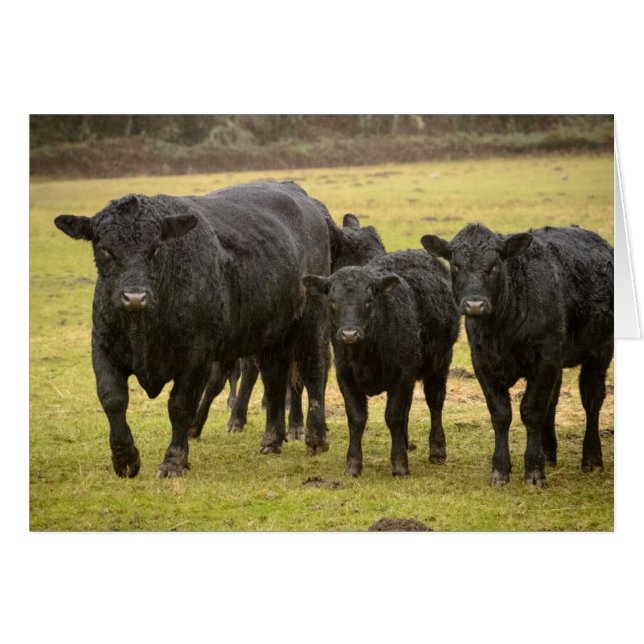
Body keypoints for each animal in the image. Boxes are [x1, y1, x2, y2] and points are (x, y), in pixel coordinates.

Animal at [54, 181, 333, 478]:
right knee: (274, 379)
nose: (134, 297)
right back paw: (271, 440)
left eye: (155, 248)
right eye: (105, 249)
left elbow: (180, 405)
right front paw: (125, 458)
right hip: (269, 336)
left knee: (314, 371)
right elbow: (113, 399)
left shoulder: (196, 357)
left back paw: (315, 438)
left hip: (311, 322)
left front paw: (173, 461)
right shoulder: (103, 347)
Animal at [302, 250, 460, 477]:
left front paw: (400, 465)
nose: (349, 334)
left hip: (439, 365)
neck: (366, 355)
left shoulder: (402, 374)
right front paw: (353, 465)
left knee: (435, 403)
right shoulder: (345, 375)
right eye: (332, 301)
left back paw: (437, 450)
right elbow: (357, 418)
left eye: (368, 301)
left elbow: (393, 416)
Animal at [421, 223, 614, 487]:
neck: (500, 329)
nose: (474, 305)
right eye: (455, 265)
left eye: (495, 265)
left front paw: (534, 471)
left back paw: (592, 459)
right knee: (553, 400)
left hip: (599, 352)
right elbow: (501, 414)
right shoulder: (482, 362)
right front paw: (500, 470)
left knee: (592, 399)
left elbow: (531, 411)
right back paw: (549, 452)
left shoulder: (545, 359)